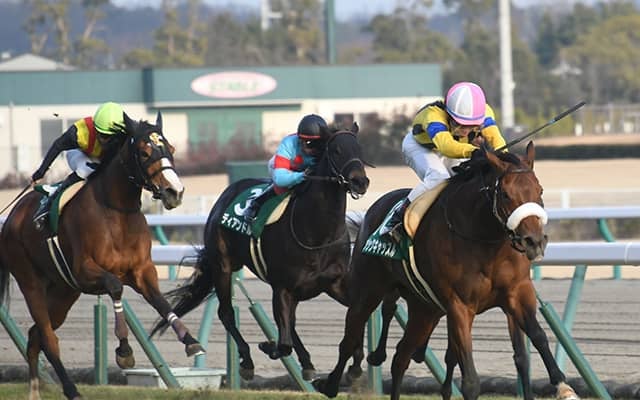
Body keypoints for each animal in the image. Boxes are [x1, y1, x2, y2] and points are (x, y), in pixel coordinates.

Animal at [0, 112, 204, 400]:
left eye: (171, 149)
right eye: (144, 152)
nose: (174, 192)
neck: (118, 212)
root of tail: (11, 218)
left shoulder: (143, 271)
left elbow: (161, 302)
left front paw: (190, 341)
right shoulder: (85, 270)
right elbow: (115, 286)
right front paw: (124, 350)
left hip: (63, 292)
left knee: (35, 336)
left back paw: (35, 391)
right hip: (31, 283)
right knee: (49, 339)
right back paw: (72, 390)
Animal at [151, 125, 370, 381]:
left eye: (359, 148)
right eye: (336, 150)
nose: (360, 181)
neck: (318, 233)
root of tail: (226, 194)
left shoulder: (334, 283)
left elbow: (357, 312)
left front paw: (356, 363)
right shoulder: (282, 287)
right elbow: (283, 344)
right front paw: (268, 346)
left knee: (289, 323)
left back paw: (306, 362)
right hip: (223, 267)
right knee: (227, 313)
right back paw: (247, 360)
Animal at [314, 141, 580, 400]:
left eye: (540, 190)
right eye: (505, 194)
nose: (534, 241)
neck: (485, 241)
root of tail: (373, 210)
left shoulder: (517, 292)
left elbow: (538, 337)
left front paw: (562, 385)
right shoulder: (458, 306)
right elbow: (470, 380)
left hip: (425, 309)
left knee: (401, 357)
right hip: (368, 291)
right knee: (349, 339)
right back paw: (330, 384)